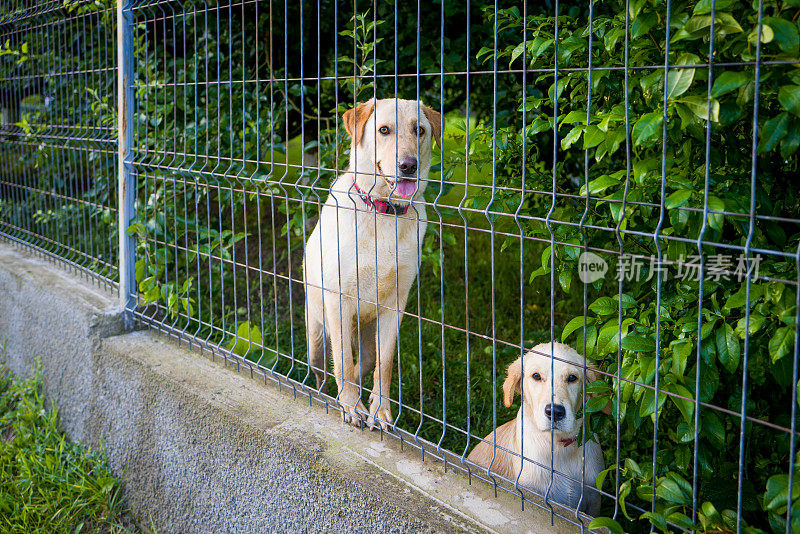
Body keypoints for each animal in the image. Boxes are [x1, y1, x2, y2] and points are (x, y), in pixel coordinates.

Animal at [302, 97, 440, 432]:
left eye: (419, 130)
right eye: (384, 130)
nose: (408, 166)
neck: (383, 212)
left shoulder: (395, 305)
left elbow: (384, 364)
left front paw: (380, 409)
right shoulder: (339, 300)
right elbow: (342, 363)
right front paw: (352, 407)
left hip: (366, 339)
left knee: (360, 364)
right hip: (316, 336)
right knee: (325, 370)